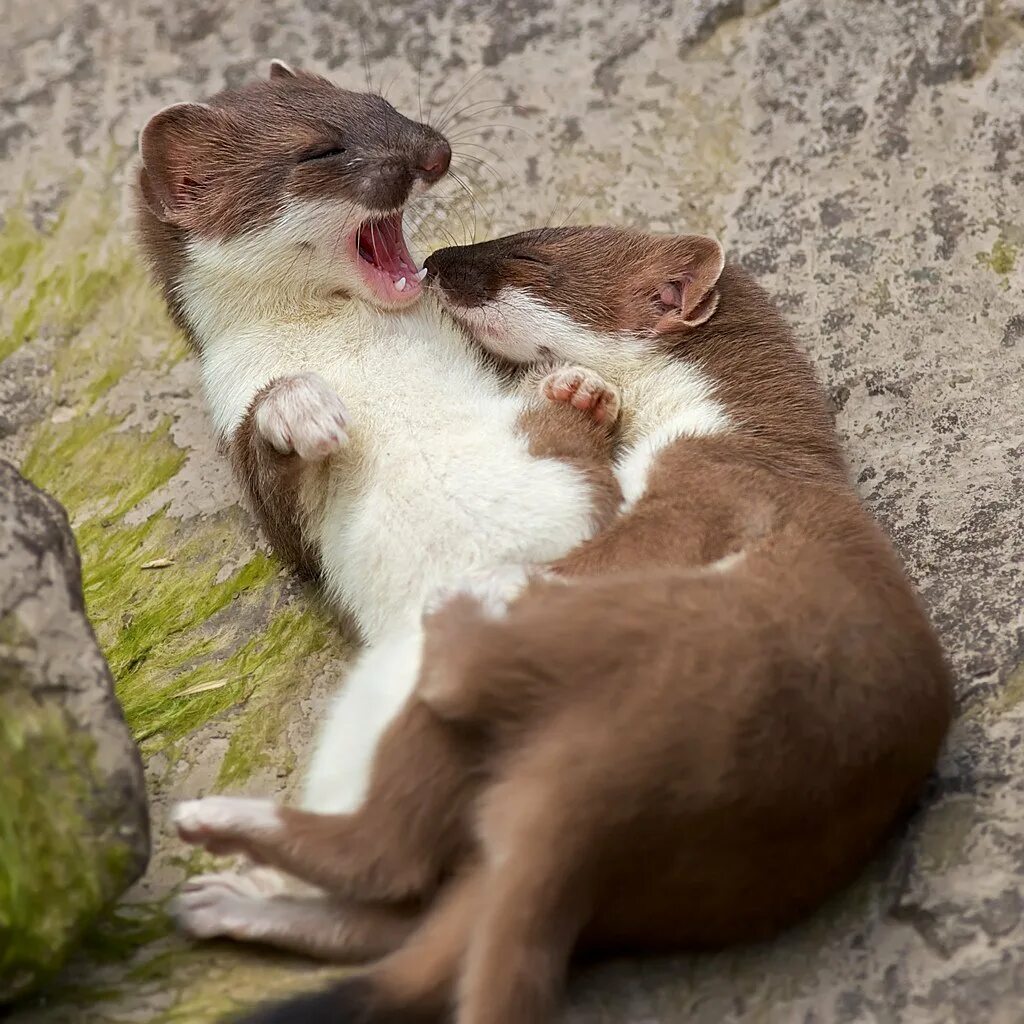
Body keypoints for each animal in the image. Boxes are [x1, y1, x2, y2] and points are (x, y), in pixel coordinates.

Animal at [136, 68, 622, 937]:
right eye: (320, 149)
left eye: (381, 103)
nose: (435, 150)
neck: (359, 346)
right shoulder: (246, 452)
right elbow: (276, 479)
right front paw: (302, 410)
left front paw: (579, 391)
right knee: (381, 868)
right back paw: (227, 877)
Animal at [174, 226, 950, 1024]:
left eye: (530, 256)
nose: (434, 262)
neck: (728, 426)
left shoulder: (711, 487)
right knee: (414, 914)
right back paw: (228, 898)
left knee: (391, 846)